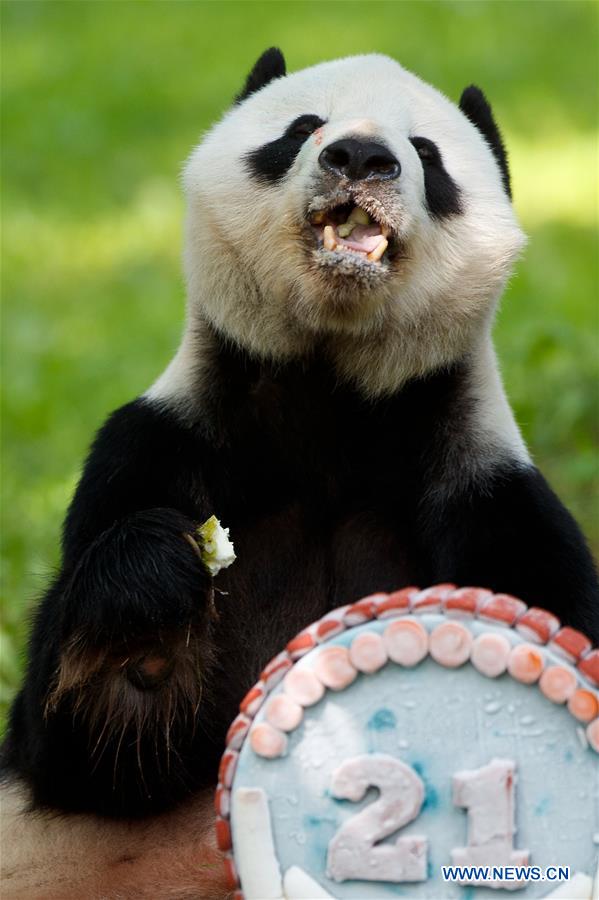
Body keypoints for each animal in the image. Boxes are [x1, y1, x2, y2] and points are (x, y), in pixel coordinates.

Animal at [3, 48, 598, 834]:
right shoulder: (157, 447)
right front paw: (150, 600)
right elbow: (90, 749)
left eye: (427, 153)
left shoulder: (491, 494)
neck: (331, 395)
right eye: (302, 128)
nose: (361, 157)